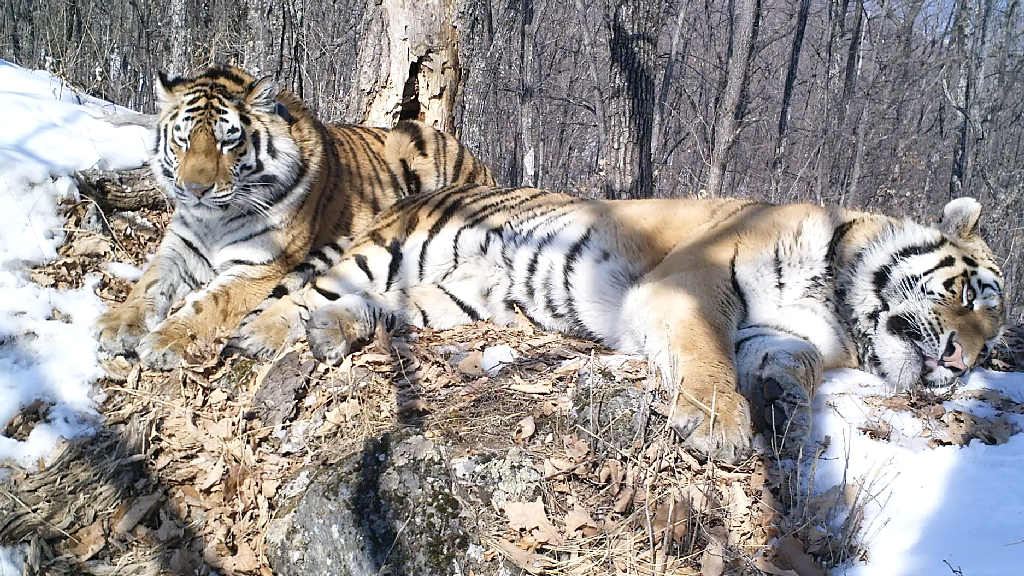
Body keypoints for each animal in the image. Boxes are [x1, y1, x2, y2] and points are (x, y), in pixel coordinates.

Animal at [94, 63, 493, 366]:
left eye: (228, 141)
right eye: (184, 139)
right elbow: (149, 283)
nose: (195, 190)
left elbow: (209, 304)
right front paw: (117, 325)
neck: (215, 219)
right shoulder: (180, 247)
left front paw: (165, 341)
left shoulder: (259, 266)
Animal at [228, 183, 1003, 461]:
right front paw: (721, 427)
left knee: (375, 309)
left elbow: (793, 366)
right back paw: (260, 336)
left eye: (995, 342)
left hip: (452, 298)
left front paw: (784, 410)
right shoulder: (692, 284)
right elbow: (707, 357)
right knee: (301, 291)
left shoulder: (780, 333)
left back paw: (333, 332)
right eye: (970, 295)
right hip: (395, 250)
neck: (837, 301)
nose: (963, 363)